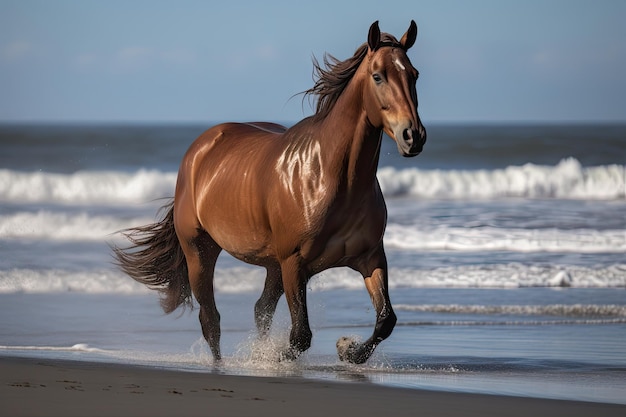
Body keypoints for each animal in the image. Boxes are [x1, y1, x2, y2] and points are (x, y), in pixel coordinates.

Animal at [112, 21, 424, 362]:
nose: (413, 136)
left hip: (272, 265)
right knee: (211, 320)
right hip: (201, 252)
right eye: (378, 76)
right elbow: (300, 335)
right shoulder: (294, 264)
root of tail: (199, 150)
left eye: (414, 74)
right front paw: (274, 359)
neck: (331, 179)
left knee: (260, 309)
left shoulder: (370, 258)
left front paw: (347, 349)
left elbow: (385, 320)